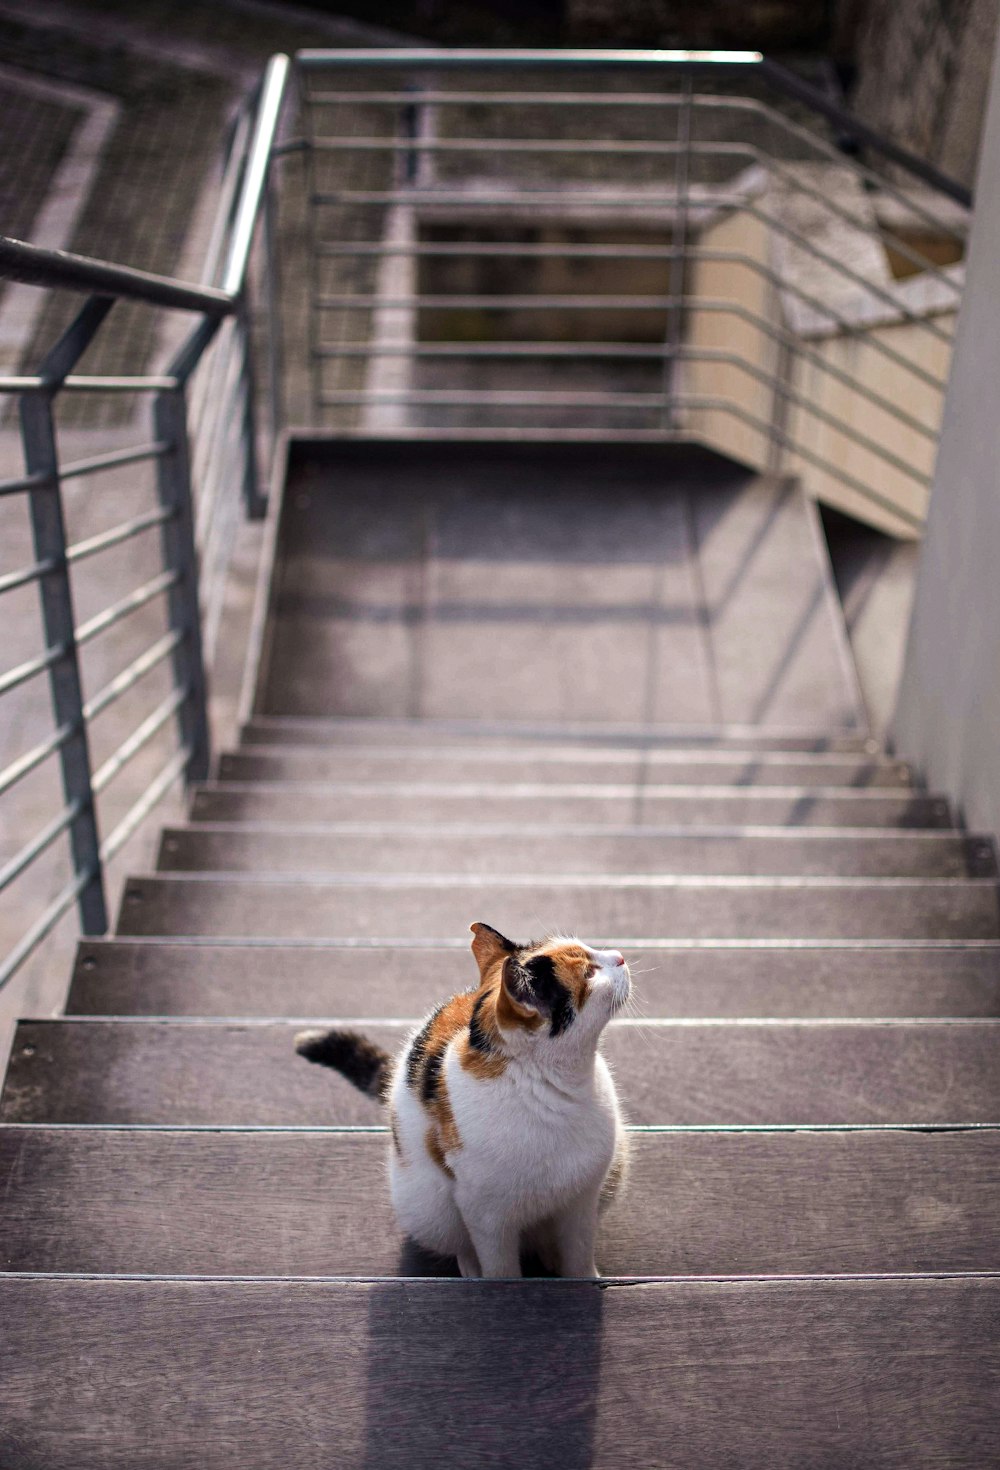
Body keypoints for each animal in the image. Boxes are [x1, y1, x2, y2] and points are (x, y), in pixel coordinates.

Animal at [292, 923, 629, 1281]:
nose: (620, 956)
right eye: (589, 973)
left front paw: (584, 1279)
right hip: (429, 1207)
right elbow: (500, 1267)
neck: (553, 1084)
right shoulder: (485, 1214)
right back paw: (471, 1267)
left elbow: (578, 1253)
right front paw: (497, 1281)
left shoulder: (582, 1201)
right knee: (461, 1243)